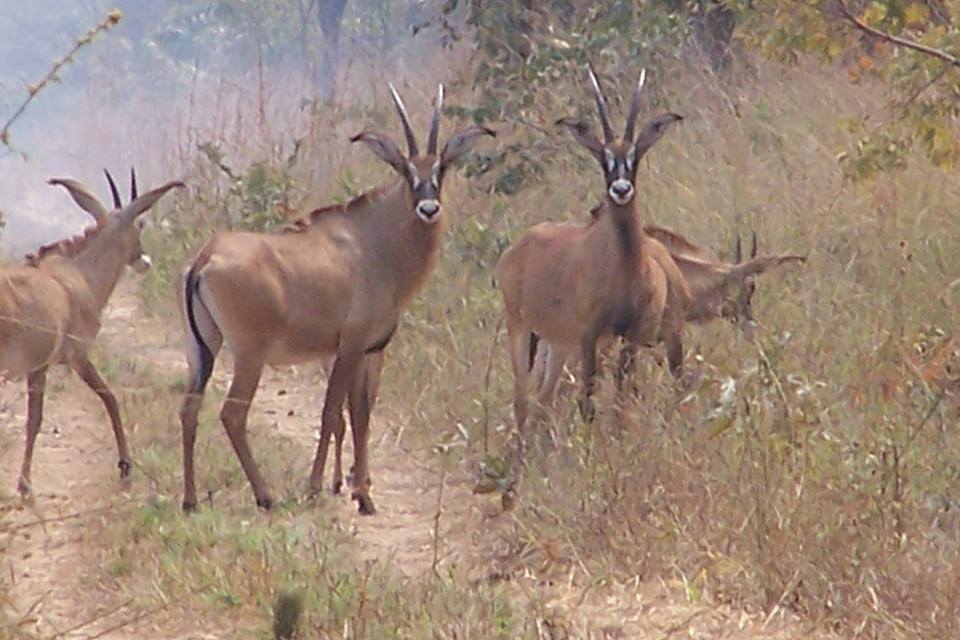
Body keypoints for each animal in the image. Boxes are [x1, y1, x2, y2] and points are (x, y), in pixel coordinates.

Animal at [3, 172, 185, 498]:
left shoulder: (39, 367)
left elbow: (33, 419)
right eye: (140, 224)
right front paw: (125, 467)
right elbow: (108, 398)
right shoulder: (77, 356)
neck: (79, 273)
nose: (144, 261)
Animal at [179, 84, 496, 516]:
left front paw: (360, 492)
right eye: (406, 171)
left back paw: (191, 500)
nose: (429, 209)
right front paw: (328, 489)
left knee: (189, 410)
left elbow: (359, 415)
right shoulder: (351, 346)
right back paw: (265, 496)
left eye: (441, 169)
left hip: (202, 350)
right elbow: (333, 413)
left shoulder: (367, 350)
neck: (374, 240)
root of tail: (205, 259)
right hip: (249, 354)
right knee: (232, 414)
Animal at [498, 65, 688, 444]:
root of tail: (518, 248)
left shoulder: (631, 336)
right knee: (522, 401)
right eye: (604, 159)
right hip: (521, 329)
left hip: (555, 344)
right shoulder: (588, 336)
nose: (621, 190)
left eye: (634, 157)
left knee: (543, 400)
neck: (625, 265)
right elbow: (588, 400)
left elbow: (623, 397)